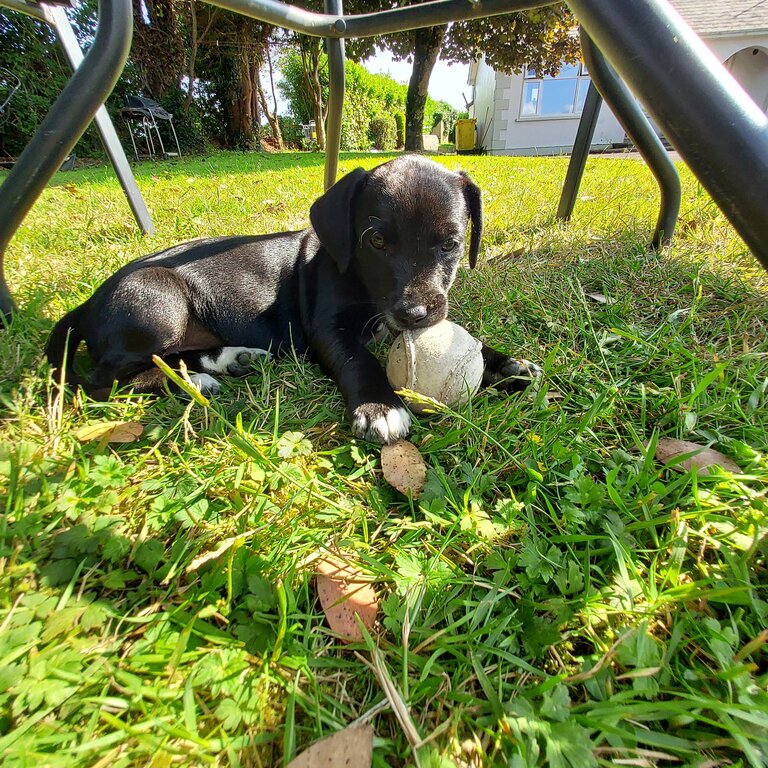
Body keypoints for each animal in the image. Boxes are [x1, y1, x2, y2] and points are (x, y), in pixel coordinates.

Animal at [46, 154, 540, 444]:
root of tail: (85, 304)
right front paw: (379, 407)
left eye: (451, 244)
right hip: (160, 301)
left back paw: (229, 360)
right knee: (101, 381)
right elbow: (359, 360)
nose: (415, 314)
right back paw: (196, 382)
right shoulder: (327, 329)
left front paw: (505, 364)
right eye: (377, 240)